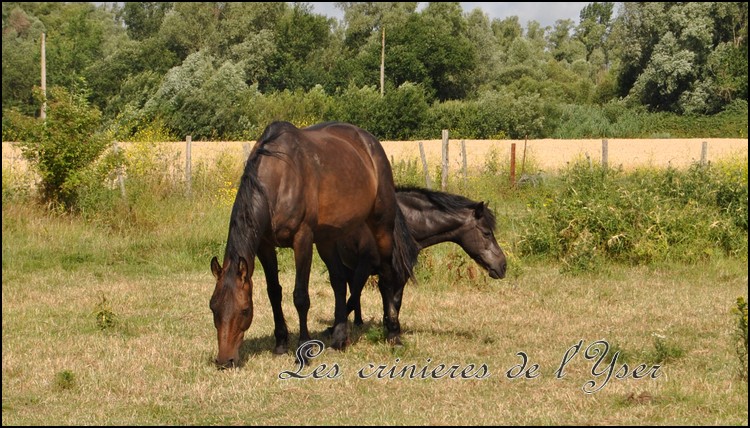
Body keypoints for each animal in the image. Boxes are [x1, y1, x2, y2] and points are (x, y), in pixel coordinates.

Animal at [209, 121, 418, 368]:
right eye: (213, 308)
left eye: (244, 310)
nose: (225, 360)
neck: (279, 179)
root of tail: (371, 143)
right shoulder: (265, 246)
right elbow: (274, 292)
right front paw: (281, 343)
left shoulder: (303, 240)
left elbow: (300, 296)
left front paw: (303, 349)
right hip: (328, 238)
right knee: (339, 281)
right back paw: (339, 338)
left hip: (381, 225)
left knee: (386, 275)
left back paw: (393, 333)